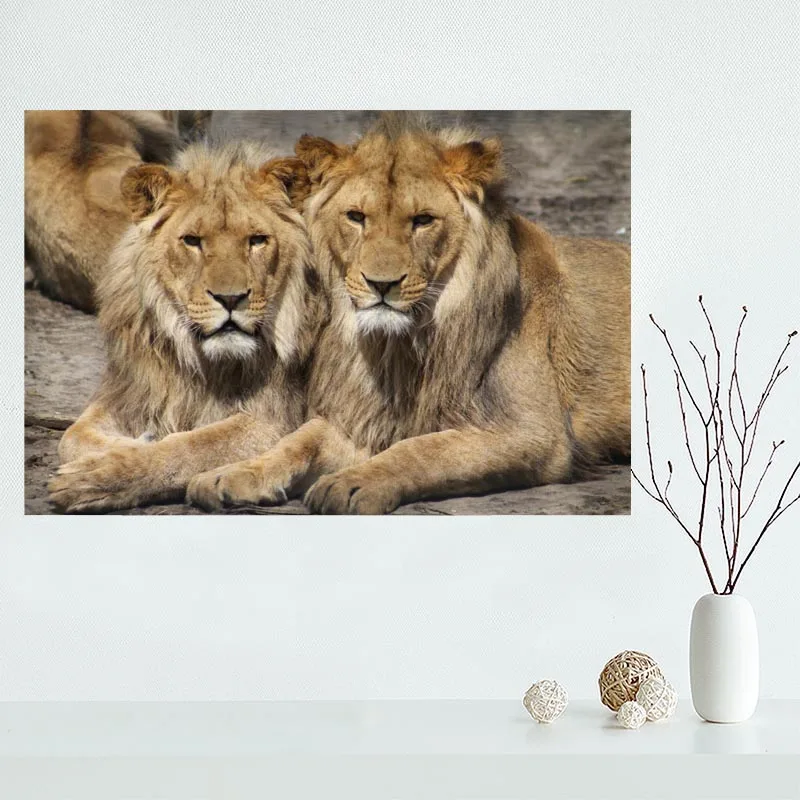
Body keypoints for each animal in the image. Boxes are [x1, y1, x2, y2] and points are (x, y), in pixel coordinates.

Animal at [48, 140, 322, 513]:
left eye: (257, 240)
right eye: (192, 241)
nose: (230, 298)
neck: (201, 360)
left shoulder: (273, 419)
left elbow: (192, 445)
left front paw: (100, 475)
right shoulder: (134, 391)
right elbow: (71, 437)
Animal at [187, 113, 630, 514]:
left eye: (422, 221)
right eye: (356, 217)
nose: (382, 285)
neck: (398, 347)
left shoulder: (534, 432)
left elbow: (423, 449)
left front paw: (352, 483)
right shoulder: (366, 417)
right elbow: (301, 438)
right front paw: (233, 473)